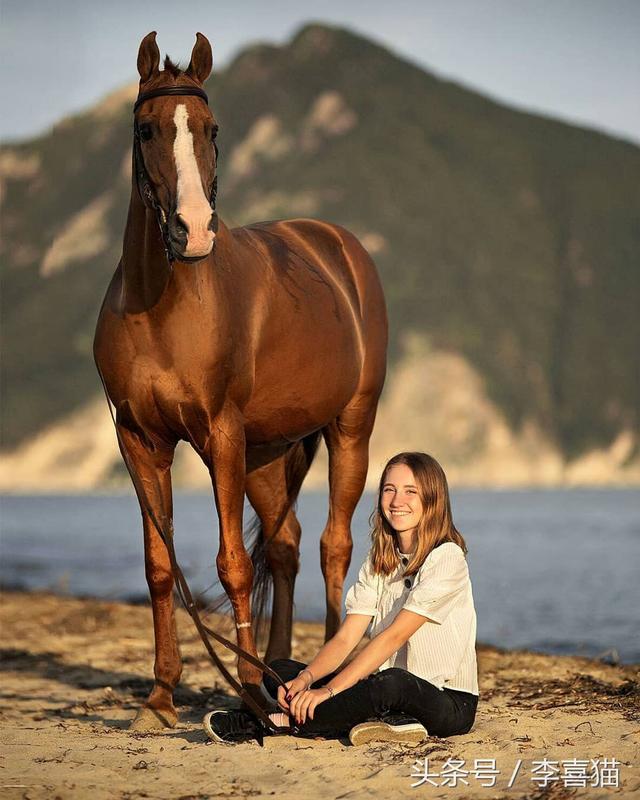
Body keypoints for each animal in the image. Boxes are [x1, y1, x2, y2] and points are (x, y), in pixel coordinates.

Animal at [92, 31, 388, 732]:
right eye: (146, 128)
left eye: (212, 128)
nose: (194, 231)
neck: (161, 306)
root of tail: (338, 248)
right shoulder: (140, 440)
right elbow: (160, 566)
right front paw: (161, 699)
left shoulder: (218, 434)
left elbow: (231, 564)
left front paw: (249, 698)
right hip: (265, 452)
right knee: (285, 547)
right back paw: (276, 667)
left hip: (349, 428)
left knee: (333, 545)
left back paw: (310, 679)